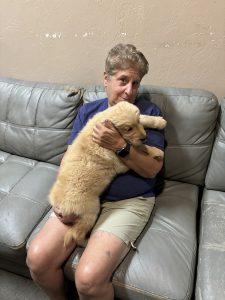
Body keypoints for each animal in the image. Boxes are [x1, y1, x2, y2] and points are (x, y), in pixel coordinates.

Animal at [48, 100, 165, 246]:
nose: (145, 137)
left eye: (137, 122)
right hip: (91, 210)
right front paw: (156, 151)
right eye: (128, 128)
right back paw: (86, 241)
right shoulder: (121, 162)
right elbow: (139, 147)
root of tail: (58, 204)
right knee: (76, 234)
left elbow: (144, 118)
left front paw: (158, 121)